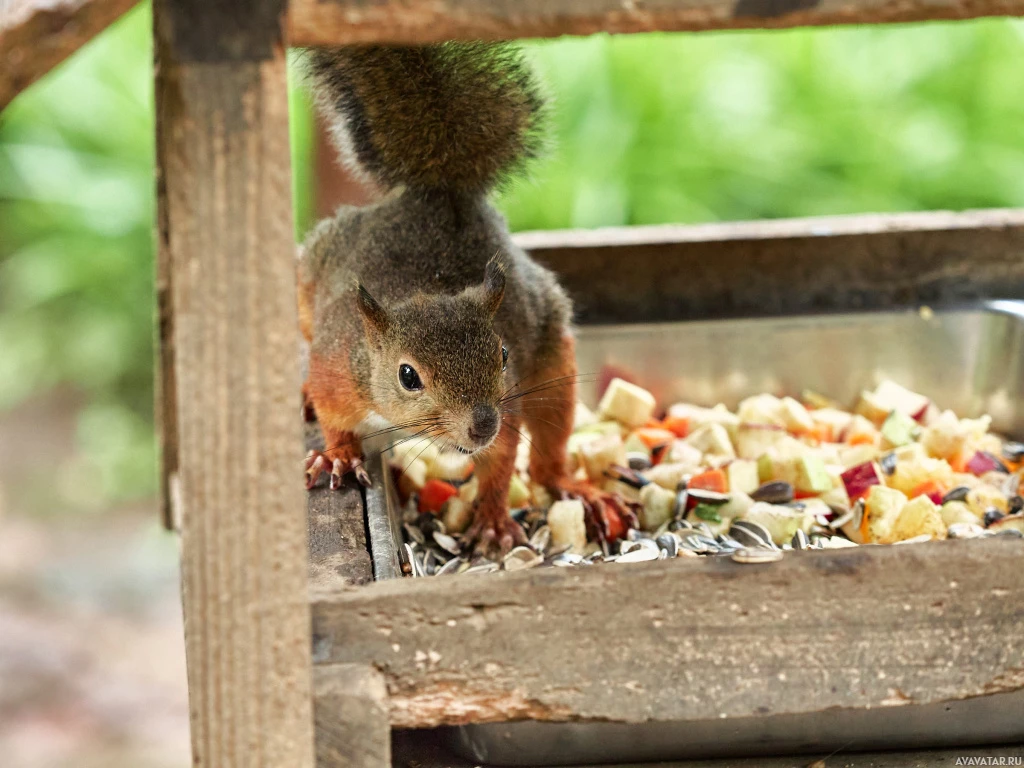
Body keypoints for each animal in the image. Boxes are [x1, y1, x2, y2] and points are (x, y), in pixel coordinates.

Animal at [296, 41, 630, 552]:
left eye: (503, 354)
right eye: (407, 376)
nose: (481, 425)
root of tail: (441, 195)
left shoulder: (508, 406)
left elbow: (500, 461)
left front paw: (492, 521)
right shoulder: (335, 367)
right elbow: (334, 416)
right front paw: (337, 455)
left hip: (554, 367)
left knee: (546, 456)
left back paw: (574, 487)